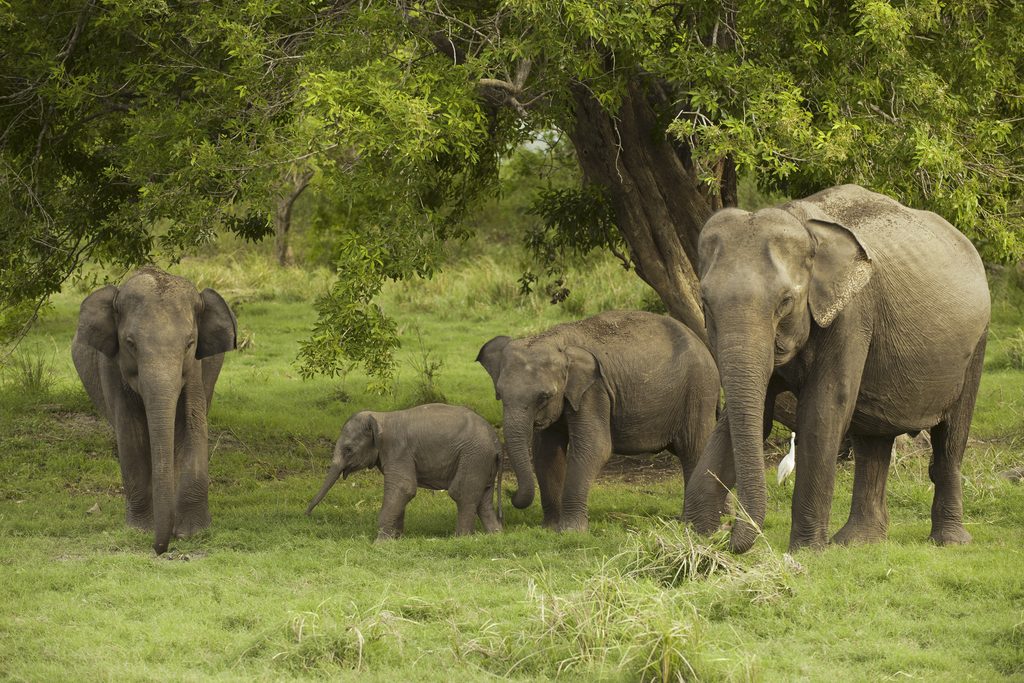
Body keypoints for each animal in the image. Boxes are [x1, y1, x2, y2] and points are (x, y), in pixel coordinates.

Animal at [72, 266, 237, 554]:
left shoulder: (194, 370)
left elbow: (193, 427)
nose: (160, 549)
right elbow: (132, 435)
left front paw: (192, 533)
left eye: (190, 343)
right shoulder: (112, 368)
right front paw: (141, 530)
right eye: (130, 343)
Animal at [305, 404, 504, 540]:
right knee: (483, 499)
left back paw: (461, 539)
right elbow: (401, 492)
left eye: (348, 449)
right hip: (482, 462)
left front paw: (380, 543)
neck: (380, 417)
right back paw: (495, 535)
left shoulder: (398, 450)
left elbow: (403, 488)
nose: (306, 515)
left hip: (474, 456)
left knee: (462, 493)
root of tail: (496, 442)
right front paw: (396, 539)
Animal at [477, 310, 720, 532]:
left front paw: (570, 531)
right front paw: (550, 528)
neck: (555, 340)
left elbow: (595, 446)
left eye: (544, 396)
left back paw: (696, 523)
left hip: (699, 391)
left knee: (693, 450)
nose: (510, 496)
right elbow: (546, 452)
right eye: (499, 394)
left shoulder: (595, 390)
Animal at [683, 184, 990, 553]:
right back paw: (859, 542)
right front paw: (691, 537)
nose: (726, 536)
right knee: (874, 441)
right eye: (705, 303)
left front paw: (807, 551)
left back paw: (949, 542)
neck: (801, 222)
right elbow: (749, 416)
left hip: (976, 343)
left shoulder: (852, 312)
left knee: (950, 440)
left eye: (785, 302)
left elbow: (824, 409)